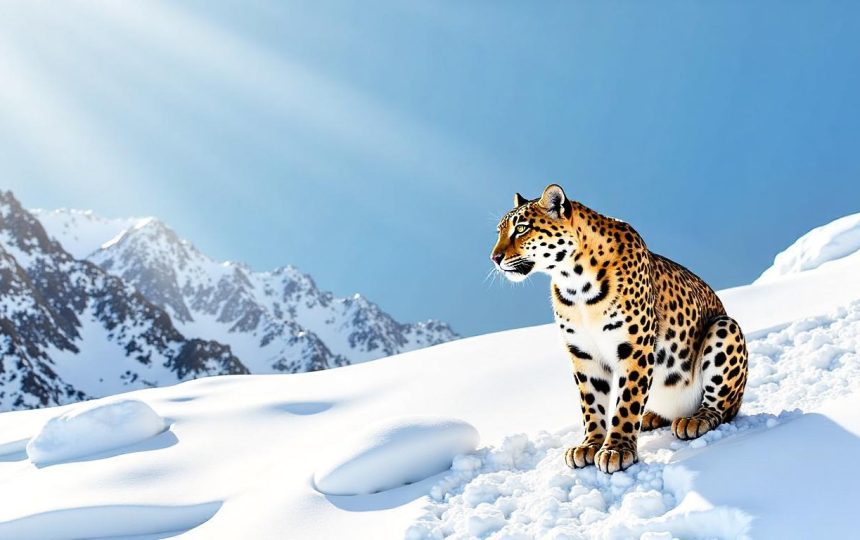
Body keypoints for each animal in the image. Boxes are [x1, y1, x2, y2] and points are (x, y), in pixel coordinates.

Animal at [490, 184, 748, 473]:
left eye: (522, 228)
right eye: (499, 231)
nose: (494, 257)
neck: (574, 283)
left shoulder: (634, 347)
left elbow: (627, 401)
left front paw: (617, 449)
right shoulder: (583, 353)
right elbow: (591, 403)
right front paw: (590, 445)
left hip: (725, 328)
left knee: (721, 407)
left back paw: (694, 420)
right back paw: (651, 417)